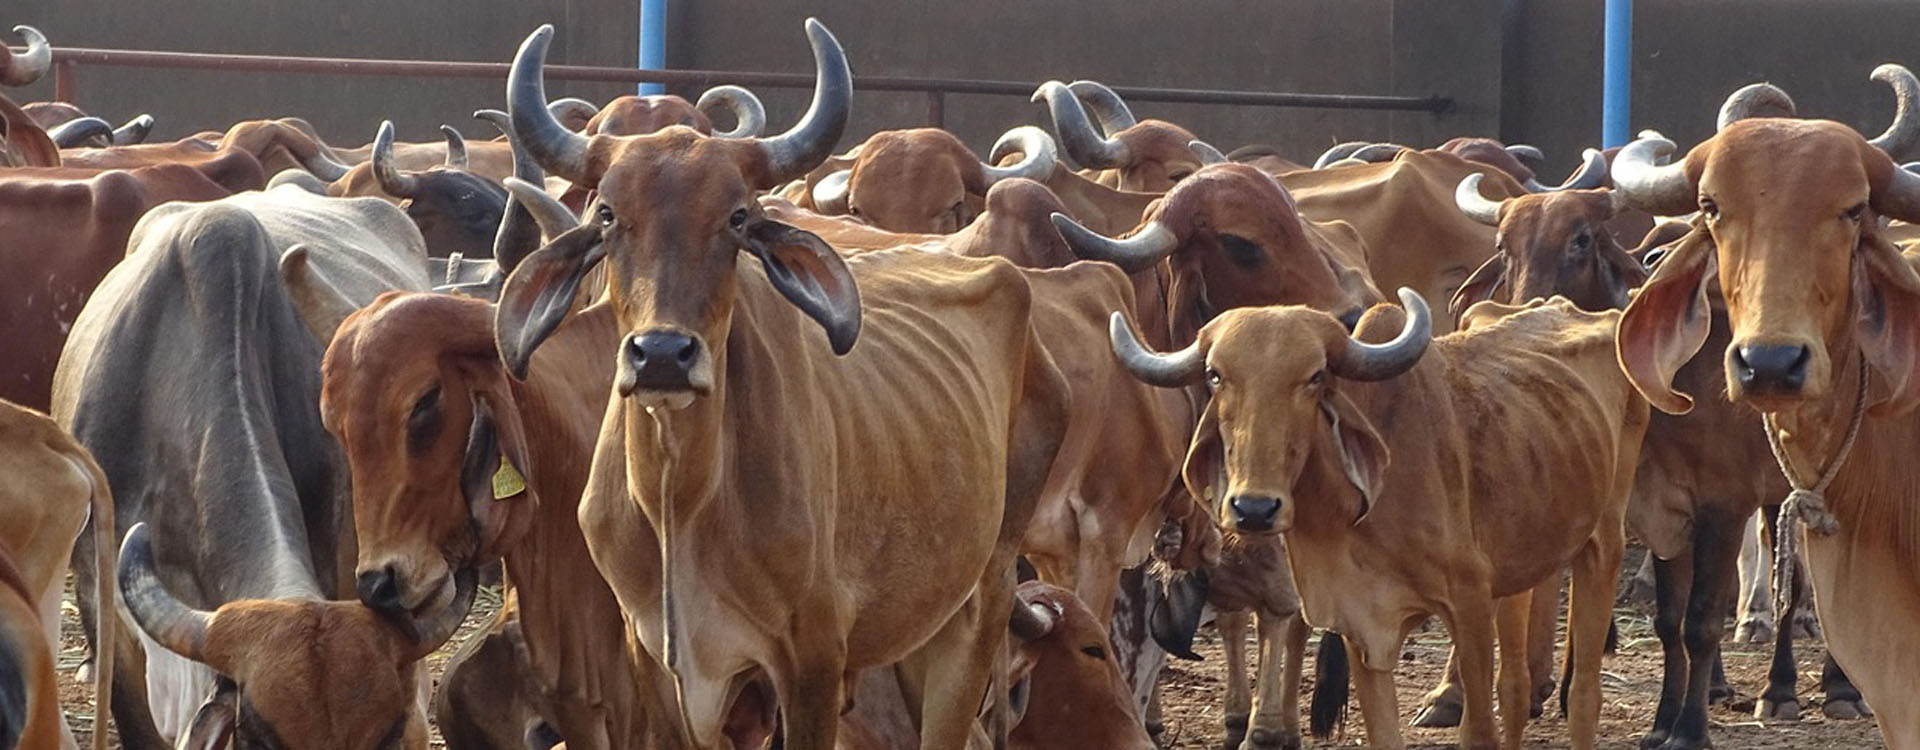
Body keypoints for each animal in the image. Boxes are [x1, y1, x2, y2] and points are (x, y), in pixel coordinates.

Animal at [499, 19, 1073, 747]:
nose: (662, 355)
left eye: (738, 217)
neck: (679, 498)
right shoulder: (658, 663)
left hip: (983, 596)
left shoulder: (812, 660)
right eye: (606, 213)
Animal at [1111, 291, 1647, 750]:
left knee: (1585, 695)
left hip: (1603, 544)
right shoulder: (1358, 623)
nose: (1254, 509)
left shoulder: (1469, 604)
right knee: (1514, 687)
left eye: (1315, 376)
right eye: (1216, 375)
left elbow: (1479, 730)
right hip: (1521, 567)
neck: (1350, 517)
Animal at [1610, 65, 1920, 746]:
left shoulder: (1723, 503)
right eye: (1710, 206)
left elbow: (1702, 620)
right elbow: (1670, 620)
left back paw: (1809, 691)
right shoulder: (1666, 509)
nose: (1771, 363)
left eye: (1854, 209)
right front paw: (1662, 723)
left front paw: (1690, 728)